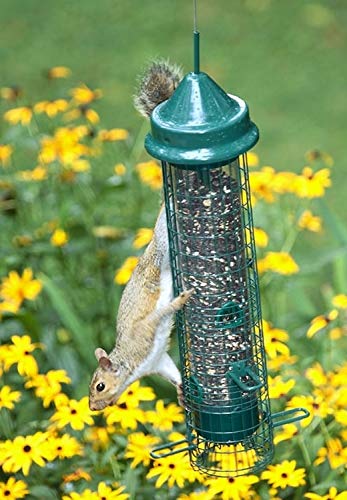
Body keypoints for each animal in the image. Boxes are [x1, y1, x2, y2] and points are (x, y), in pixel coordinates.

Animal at [88, 60, 192, 410]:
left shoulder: (145, 332)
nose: (93, 408)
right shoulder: (158, 361)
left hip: (162, 246)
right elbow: (172, 372)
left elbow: (163, 312)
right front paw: (180, 391)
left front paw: (183, 300)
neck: (133, 364)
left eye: (100, 386)